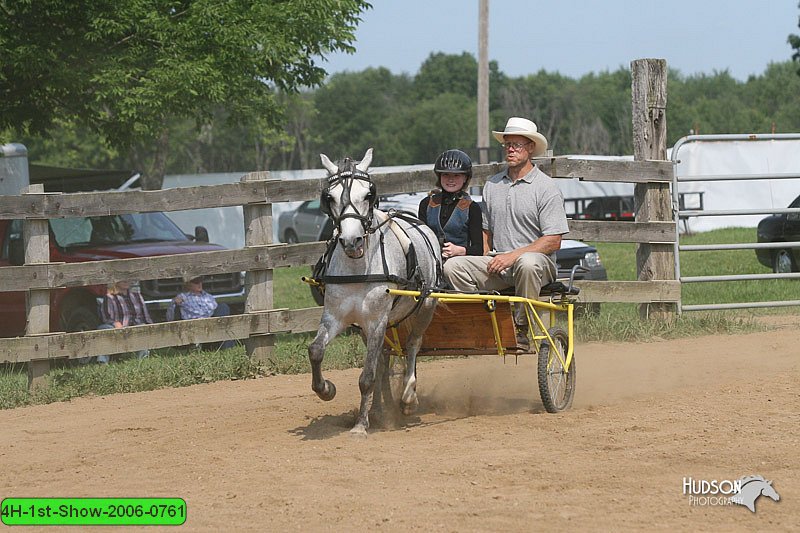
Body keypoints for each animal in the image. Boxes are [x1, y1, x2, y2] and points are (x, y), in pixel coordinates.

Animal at [308, 148, 444, 434]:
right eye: (329, 197)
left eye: (368, 194)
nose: (352, 241)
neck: (358, 269)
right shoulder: (337, 318)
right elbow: (316, 351)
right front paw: (326, 389)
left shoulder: (377, 321)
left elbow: (367, 376)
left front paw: (360, 426)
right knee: (384, 358)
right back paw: (382, 408)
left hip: (424, 307)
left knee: (413, 345)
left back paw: (407, 397)